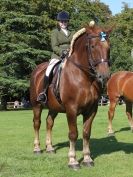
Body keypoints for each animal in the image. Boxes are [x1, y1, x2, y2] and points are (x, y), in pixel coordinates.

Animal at [30, 21, 112, 169]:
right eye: (93, 46)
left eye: (108, 47)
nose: (104, 76)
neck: (84, 77)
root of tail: (37, 70)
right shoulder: (71, 109)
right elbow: (73, 134)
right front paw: (73, 160)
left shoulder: (91, 110)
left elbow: (86, 133)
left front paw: (87, 159)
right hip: (36, 105)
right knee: (37, 123)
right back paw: (37, 148)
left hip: (54, 107)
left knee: (49, 122)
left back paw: (50, 148)